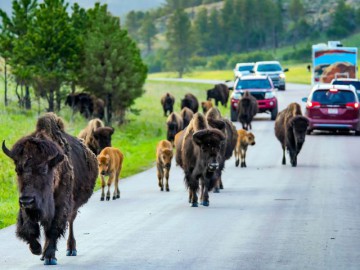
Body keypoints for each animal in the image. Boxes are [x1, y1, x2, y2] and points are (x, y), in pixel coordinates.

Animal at [1, 112, 98, 266]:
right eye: (17, 170)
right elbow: (28, 227)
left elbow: (53, 229)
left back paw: (71, 249)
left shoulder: (60, 205)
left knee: (70, 222)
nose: (27, 200)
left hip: (74, 206)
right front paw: (37, 249)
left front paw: (50, 257)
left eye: (44, 169)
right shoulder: (25, 208)